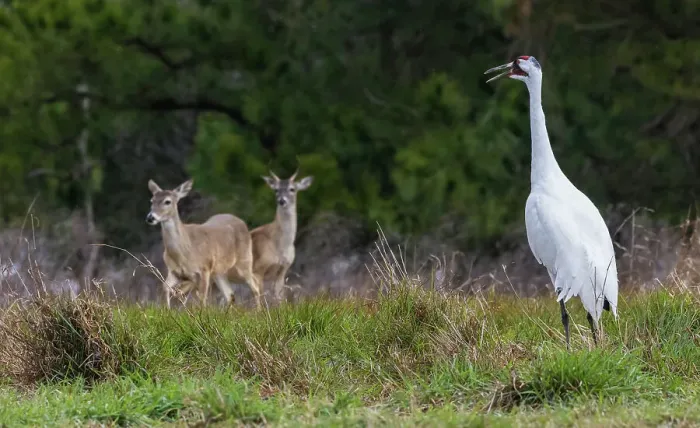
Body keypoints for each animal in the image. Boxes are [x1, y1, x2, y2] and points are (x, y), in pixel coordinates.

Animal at [146, 179, 262, 308]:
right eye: (152, 201)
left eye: (167, 201)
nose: (150, 217)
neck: (184, 251)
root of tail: (242, 222)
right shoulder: (174, 271)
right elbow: (166, 288)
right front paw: (168, 310)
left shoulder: (204, 269)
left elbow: (202, 298)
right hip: (219, 271)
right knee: (230, 294)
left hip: (243, 262)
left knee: (255, 285)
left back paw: (259, 310)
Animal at [250, 170, 313, 302]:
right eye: (276, 190)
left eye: (292, 189)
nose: (282, 201)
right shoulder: (257, 269)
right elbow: (259, 296)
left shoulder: (283, 270)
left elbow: (280, 297)